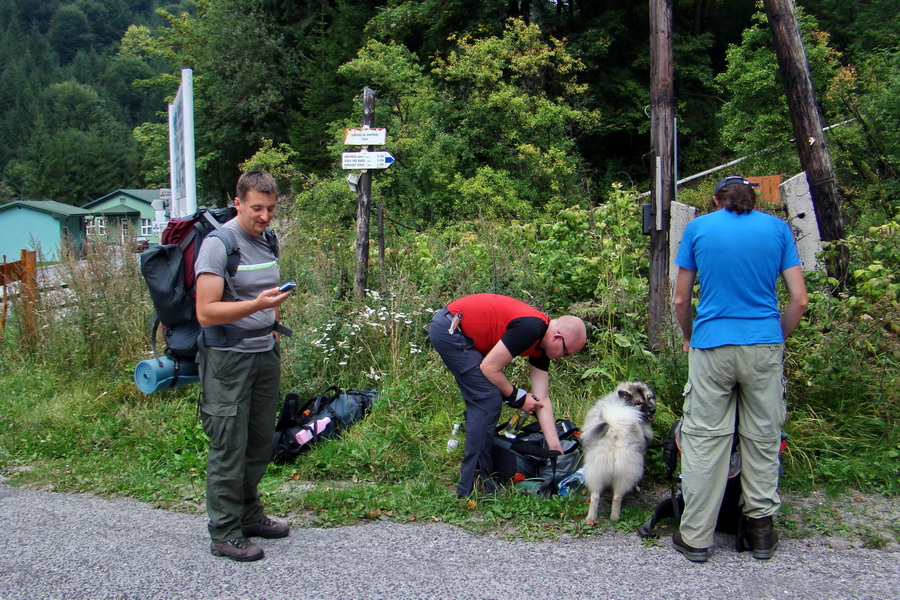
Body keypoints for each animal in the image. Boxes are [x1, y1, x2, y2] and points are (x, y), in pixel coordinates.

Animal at [580, 382, 656, 524]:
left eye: (649, 398)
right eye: (638, 403)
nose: (653, 410)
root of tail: (614, 428)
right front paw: (636, 488)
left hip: (596, 469)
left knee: (595, 496)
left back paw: (591, 517)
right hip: (627, 471)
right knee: (617, 497)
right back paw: (615, 517)